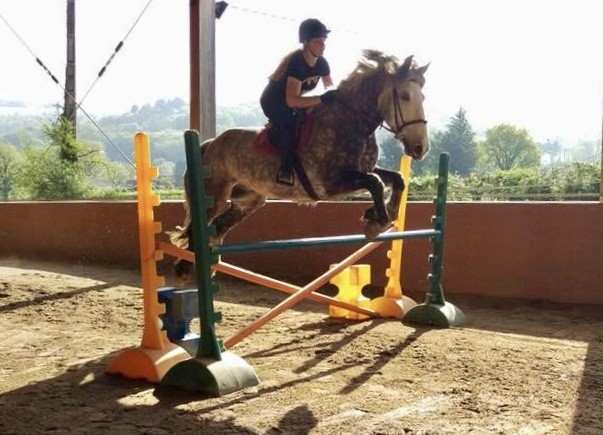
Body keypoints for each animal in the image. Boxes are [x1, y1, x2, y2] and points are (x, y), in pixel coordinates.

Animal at [172, 50, 432, 282]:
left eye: (423, 97)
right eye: (405, 96)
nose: (421, 148)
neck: (350, 122)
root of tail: (209, 144)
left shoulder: (360, 170)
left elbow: (395, 178)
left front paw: (386, 213)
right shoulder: (330, 183)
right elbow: (375, 182)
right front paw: (376, 221)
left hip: (249, 200)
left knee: (218, 227)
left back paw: (210, 267)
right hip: (214, 195)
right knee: (199, 228)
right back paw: (184, 270)